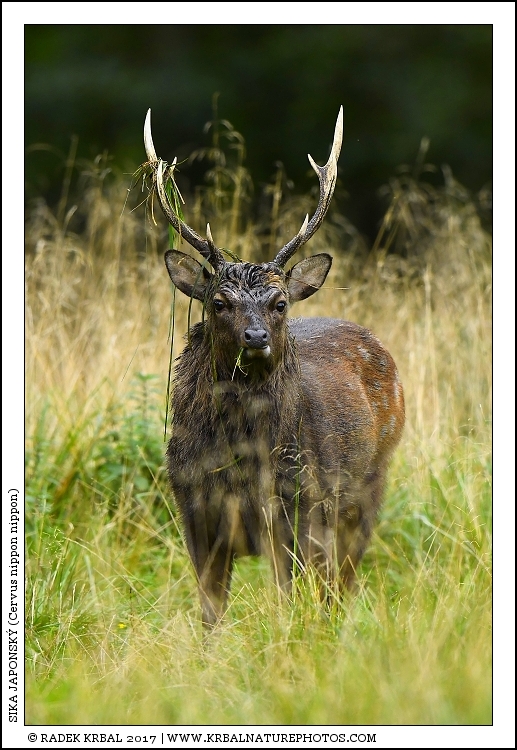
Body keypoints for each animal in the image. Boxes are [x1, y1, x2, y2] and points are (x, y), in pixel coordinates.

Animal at [143, 107, 405, 627]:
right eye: (219, 303)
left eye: (279, 302)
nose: (256, 338)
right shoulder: (194, 511)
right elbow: (210, 615)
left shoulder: (301, 509)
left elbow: (291, 604)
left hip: (368, 485)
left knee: (340, 587)